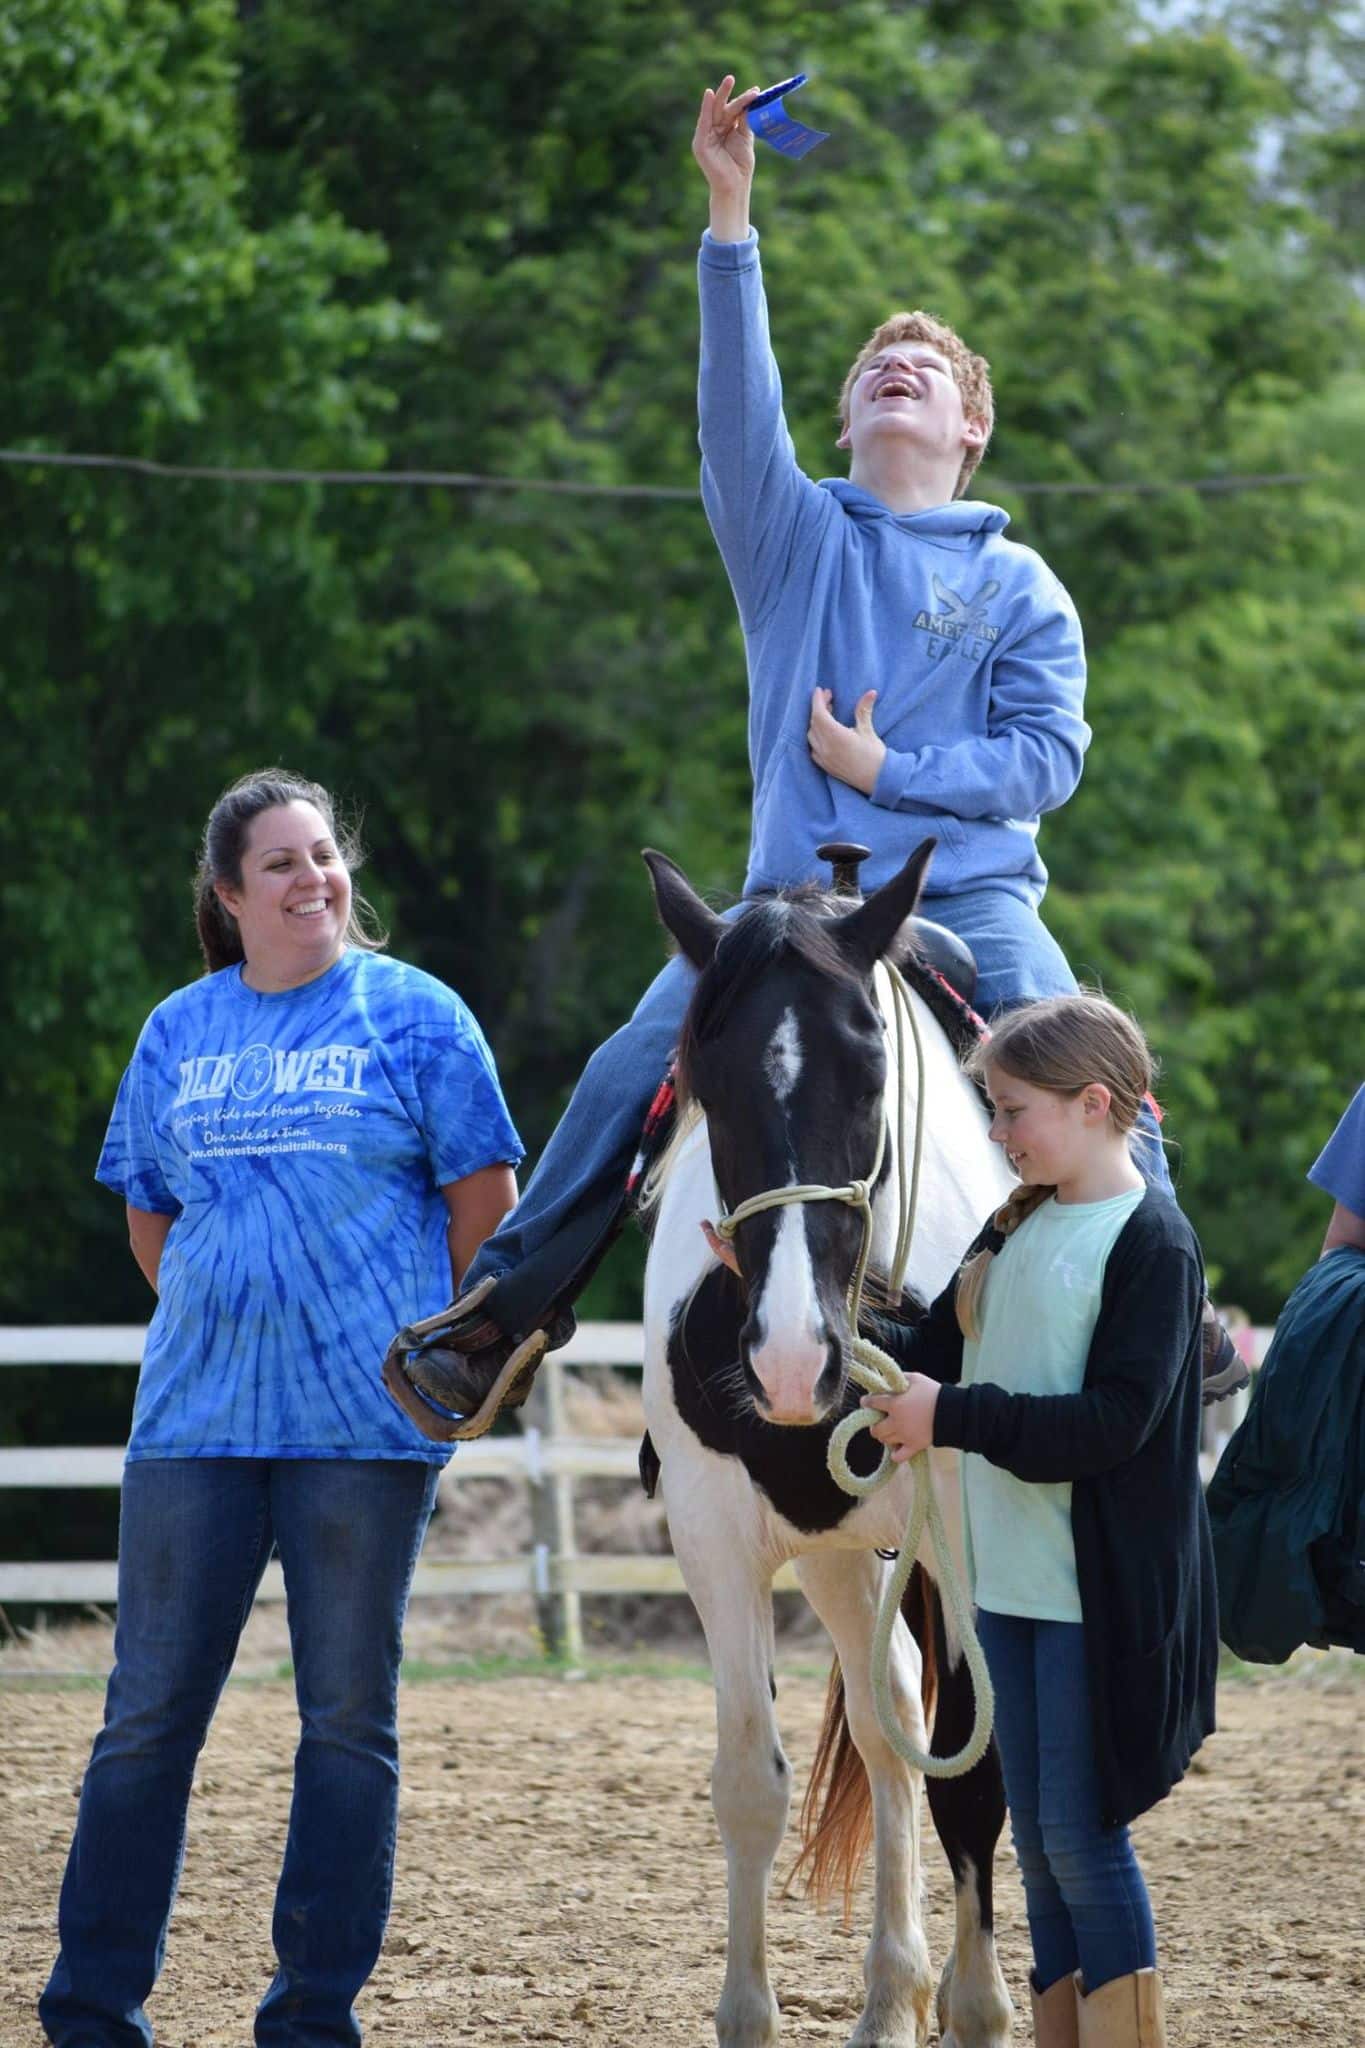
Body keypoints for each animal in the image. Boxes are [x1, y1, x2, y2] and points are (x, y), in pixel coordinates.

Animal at [642, 843, 1015, 2048]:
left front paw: (981, 2007)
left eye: (866, 1077)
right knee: (888, 1716)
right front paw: (750, 2012)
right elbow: (748, 1784)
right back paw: (889, 1994)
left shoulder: (971, 1545)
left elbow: (976, 1777)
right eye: (709, 1083)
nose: (792, 1358)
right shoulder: (716, 1541)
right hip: (842, 1561)